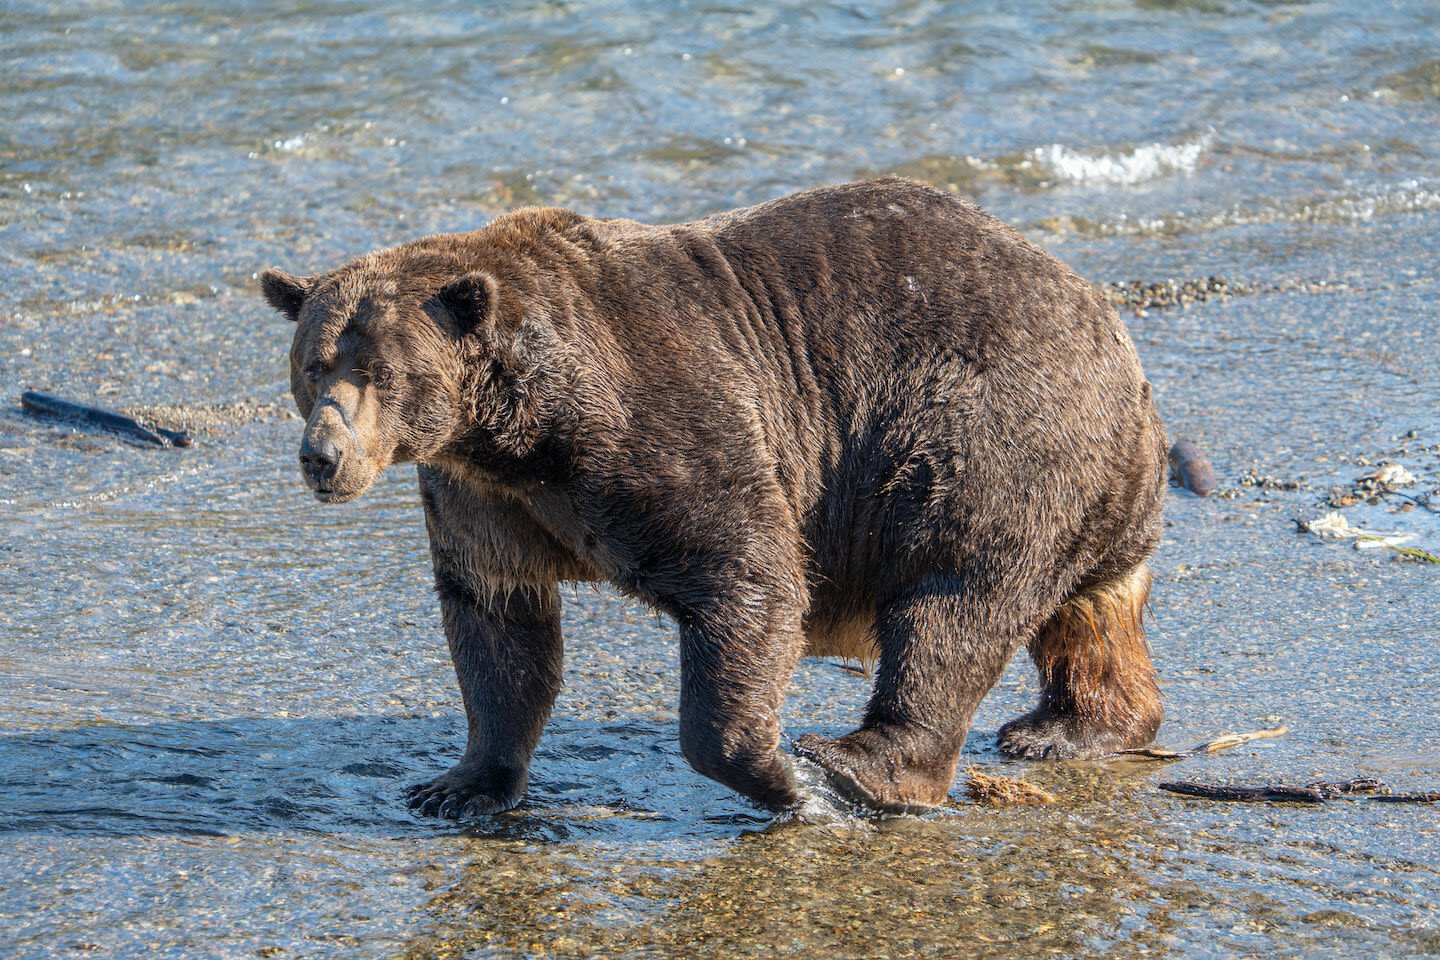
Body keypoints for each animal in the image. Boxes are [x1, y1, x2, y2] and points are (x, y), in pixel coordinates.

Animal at [262, 178, 1169, 817]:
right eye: (313, 364)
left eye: (380, 371)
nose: (323, 458)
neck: (518, 431)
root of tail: (1108, 324)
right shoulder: (483, 498)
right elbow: (497, 624)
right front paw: (460, 781)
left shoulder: (656, 422)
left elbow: (744, 573)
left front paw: (782, 775)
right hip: (1088, 484)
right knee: (1090, 611)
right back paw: (1071, 728)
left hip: (985, 432)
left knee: (951, 599)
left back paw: (859, 762)